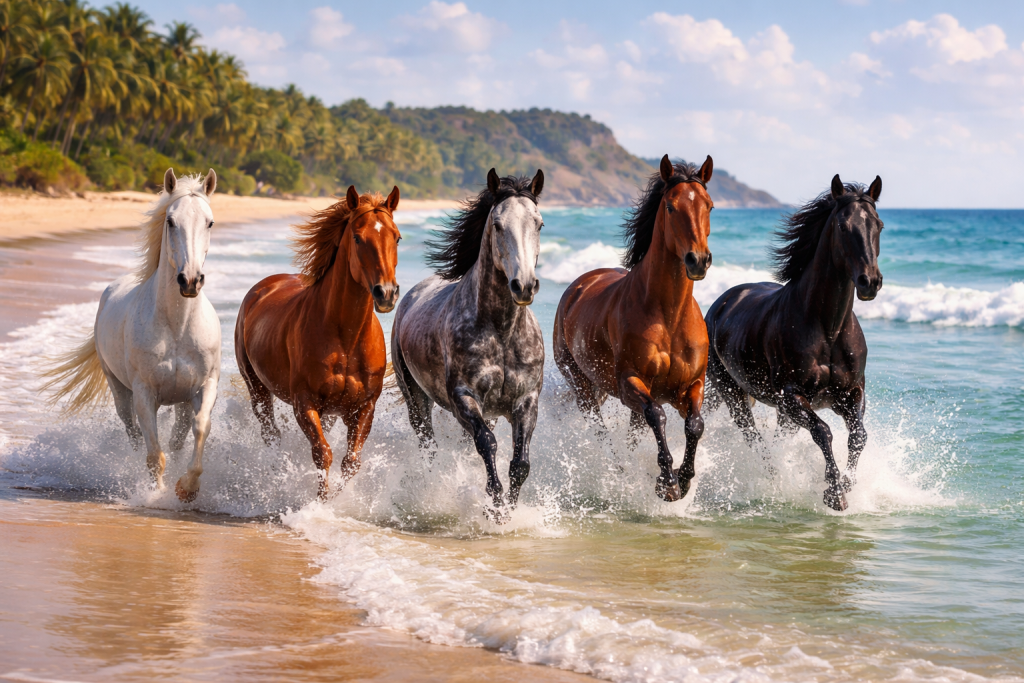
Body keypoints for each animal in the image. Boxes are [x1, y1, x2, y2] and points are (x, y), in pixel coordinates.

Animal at [42, 169, 221, 502]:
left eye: (210, 222)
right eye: (170, 221)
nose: (190, 280)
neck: (176, 327)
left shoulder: (204, 387)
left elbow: (199, 428)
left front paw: (187, 488)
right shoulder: (144, 393)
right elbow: (154, 454)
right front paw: (157, 495)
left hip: (178, 401)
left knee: (176, 437)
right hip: (120, 392)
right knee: (134, 435)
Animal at [234, 186, 400, 501]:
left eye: (396, 236)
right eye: (357, 237)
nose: (386, 293)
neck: (346, 338)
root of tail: (261, 288)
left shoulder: (363, 408)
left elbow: (351, 462)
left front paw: (338, 500)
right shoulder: (305, 402)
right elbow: (323, 454)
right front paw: (321, 503)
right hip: (257, 388)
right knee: (270, 432)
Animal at [391, 169, 545, 516]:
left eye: (539, 223)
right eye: (498, 225)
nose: (524, 286)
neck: (502, 332)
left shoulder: (526, 401)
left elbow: (520, 464)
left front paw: (509, 511)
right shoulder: (464, 398)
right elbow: (488, 444)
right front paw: (495, 505)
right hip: (416, 400)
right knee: (429, 445)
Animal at [553, 155, 714, 503]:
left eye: (708, 205)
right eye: (671, 206)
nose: (698, 260)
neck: (669, 316)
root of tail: (578, 286)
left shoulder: (691, 385)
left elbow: (695, 424)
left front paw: (684, 479)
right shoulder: (631, 382)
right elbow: (657, 415)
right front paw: (666, 482)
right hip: (582, 387)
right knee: (601, 430)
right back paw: (618, 471)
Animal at [704, 174, 884, 511]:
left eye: (878, 224)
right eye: (843, 226)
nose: (870, 282)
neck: (828, 330)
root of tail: (721, 304)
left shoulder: (851, 393)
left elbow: (858, 436)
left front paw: (848, 485)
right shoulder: (791, 396)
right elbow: (823, 432)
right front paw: (834, 493)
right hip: (733, 394)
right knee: (754, 439)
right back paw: (773, 479)